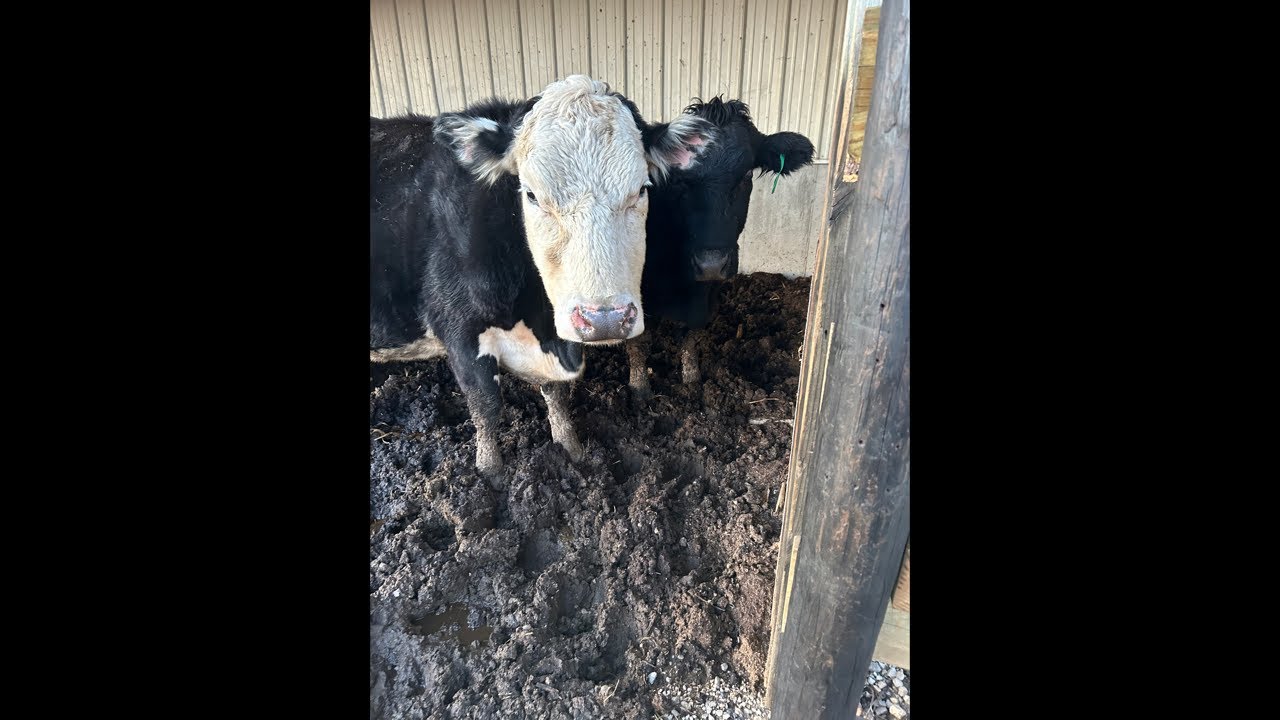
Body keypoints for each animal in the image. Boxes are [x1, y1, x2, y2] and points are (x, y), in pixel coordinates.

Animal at [371, 75, 718, 477]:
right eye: (532, 195)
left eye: (642, 189)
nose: (605, 319)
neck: (538, 319)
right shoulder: (459, 331)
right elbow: (485, 405)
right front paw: (490, 473)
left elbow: (557, 397)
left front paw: (572, 450)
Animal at [625, 97, 815, 402]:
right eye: (678, 179)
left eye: (747, 173)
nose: (711, 264)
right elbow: (638, 341)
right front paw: (640, 390)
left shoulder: (707, 292)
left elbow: (692, 334)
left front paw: (692, 380)